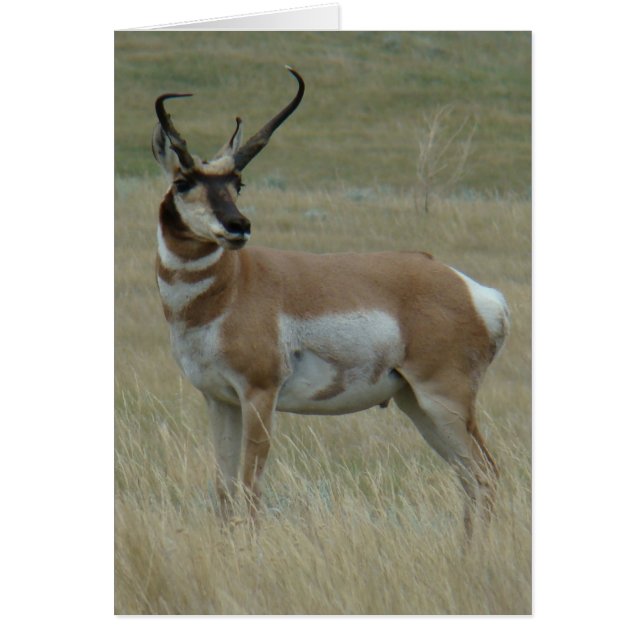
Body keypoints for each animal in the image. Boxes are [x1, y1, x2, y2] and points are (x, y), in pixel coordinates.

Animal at [152, 66, 509, 536]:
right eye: (183, 181)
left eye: (237, 182)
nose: (238, 226)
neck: (231, 287)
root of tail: (476, 292)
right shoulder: (220, 400)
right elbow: (225, 493)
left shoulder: (259, 395)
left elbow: (250, 491)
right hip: (418, 405)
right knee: (470, 477)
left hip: (443, 400)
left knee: (486, 474)